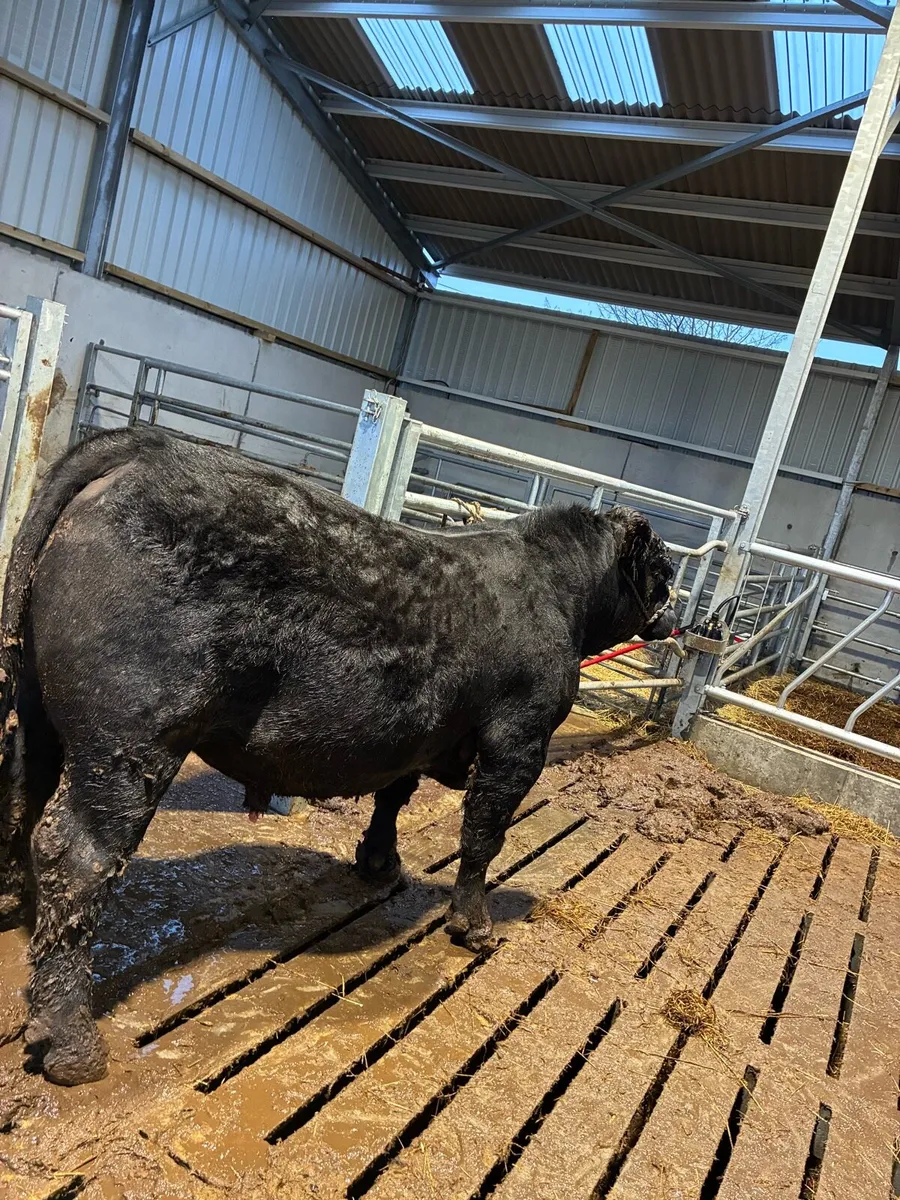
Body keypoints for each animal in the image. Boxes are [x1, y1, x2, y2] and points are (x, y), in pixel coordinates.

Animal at [0, 427, 676, 1086]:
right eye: (664, 566)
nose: (681, 614)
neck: (560, 594)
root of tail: (140, 448)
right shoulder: (520, 736)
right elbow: (485, 834)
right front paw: (474, 926)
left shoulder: (419, 735)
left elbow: (394, 795)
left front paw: (381, 863)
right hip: (132, 735)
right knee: (77, 851)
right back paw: (71, 1045)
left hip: (40, 713)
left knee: (26, 802)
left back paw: (24, 914)